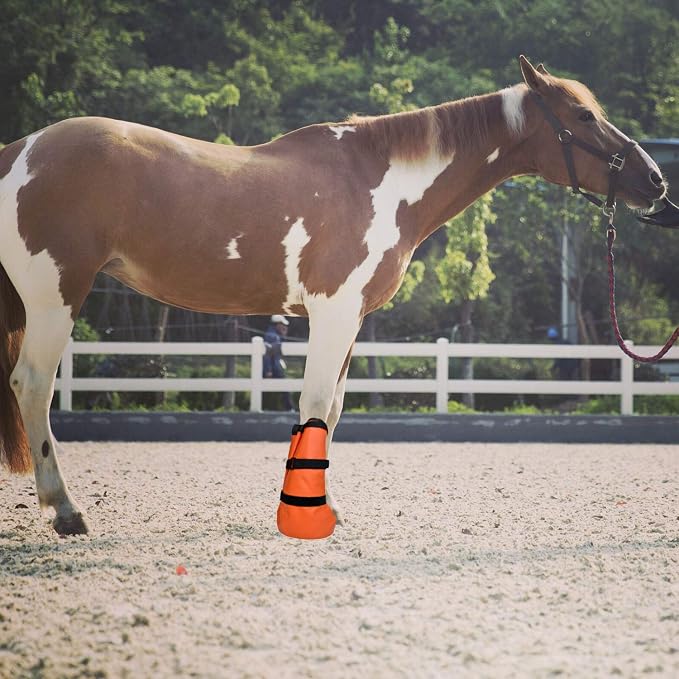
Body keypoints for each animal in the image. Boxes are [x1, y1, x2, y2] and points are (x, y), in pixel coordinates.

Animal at [0, 56, 666, 537]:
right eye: (583, 116)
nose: (655, 180)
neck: (380, 182)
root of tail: (19, 151)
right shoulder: (333, 312)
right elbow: (317, 404)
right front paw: (305, 515)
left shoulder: (348, 321)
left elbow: (333, 410)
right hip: (56, 297)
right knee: (32, 386)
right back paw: (67, 511)